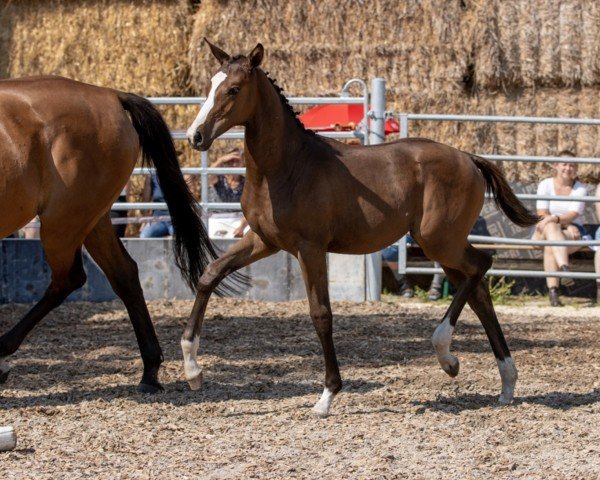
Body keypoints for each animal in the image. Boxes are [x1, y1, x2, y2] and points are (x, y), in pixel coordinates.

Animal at [0, 74, 216, 390]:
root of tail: (112, 96)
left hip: (63, 221)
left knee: (69, 279)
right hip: (94, 220)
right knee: (123, 274)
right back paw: (150, 371)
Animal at [183, 41, 540, 416]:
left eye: (234, 89)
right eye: (210, 85)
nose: (195, 136)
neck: (286, 166)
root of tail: (469, 158)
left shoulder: (310, 248)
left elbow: (321, 314)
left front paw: (327, 395)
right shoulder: (263, 240)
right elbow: (209, 275)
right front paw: (192, 370)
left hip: (440, 242)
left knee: (482, 267)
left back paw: (447, 353)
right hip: (444, 248)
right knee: (479, 291)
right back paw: (502, 382)